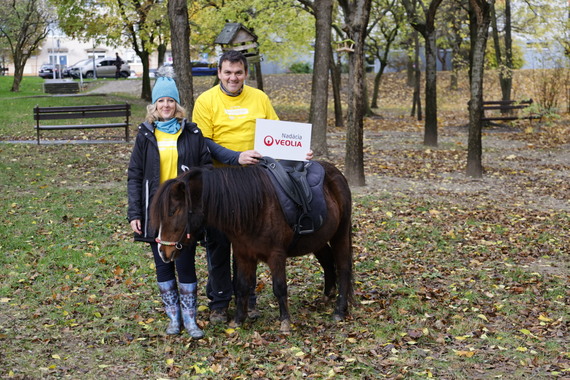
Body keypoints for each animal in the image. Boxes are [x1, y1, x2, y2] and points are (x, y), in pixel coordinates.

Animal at [148, 161, 350, 332]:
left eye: (173, 211)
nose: (162, 251)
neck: (257, 206)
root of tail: (335, 172)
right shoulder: (243, 254)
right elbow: (242, 286)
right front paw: (238, 320)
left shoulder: (276, 255)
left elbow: (279, 287)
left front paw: (285, 322)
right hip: (318, 240)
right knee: (327, 262)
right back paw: (328, 295)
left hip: (340, 234)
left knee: (343, 267)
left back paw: (340, 310)